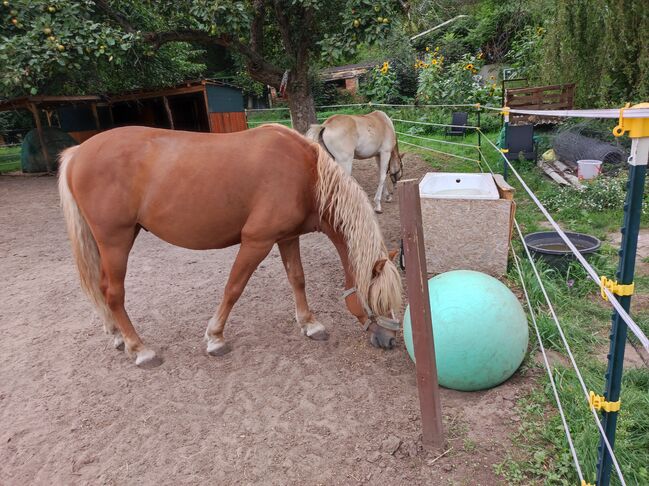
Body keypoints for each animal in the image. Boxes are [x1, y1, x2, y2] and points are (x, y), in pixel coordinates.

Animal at [58, 125, 400, 368]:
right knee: (113, 292)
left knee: (101, 288)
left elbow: (297, 279)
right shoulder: (256, 241)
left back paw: (116, 335)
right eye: (378, 299)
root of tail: (78, 152)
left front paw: (310, 324)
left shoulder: (287, 238)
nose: (390, 341)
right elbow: (234, 287)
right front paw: (215, 338)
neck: (306, 175)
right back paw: (140, 349)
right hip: (115, 239)